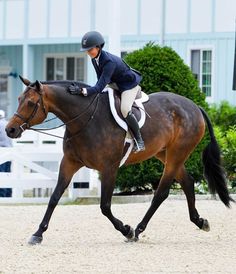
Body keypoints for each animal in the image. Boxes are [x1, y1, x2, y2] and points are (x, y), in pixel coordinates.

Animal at [5, 76, 234, 244]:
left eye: (31, 103)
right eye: (18, 100)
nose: (10, 130)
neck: (83, 118)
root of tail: (195, 106)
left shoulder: (109, 168)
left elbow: (105, 206)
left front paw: (126, 230)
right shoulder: (69, 162)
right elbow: (54, 198)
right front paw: (38, 233)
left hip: (177, 154)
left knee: (161, 193)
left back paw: (139, 229)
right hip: (166, 154)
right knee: (187, 182)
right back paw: (200, 221)